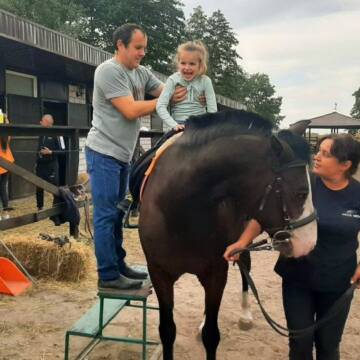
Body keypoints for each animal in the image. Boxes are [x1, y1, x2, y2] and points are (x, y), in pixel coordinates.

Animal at [139, 110, 316, 360]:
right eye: (301, 193)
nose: (309, 243)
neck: (180, 208)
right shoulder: (159, 274)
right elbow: (167, 331)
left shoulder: (216, 274)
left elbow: (211, 335)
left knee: (245, 265)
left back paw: (245, 315)